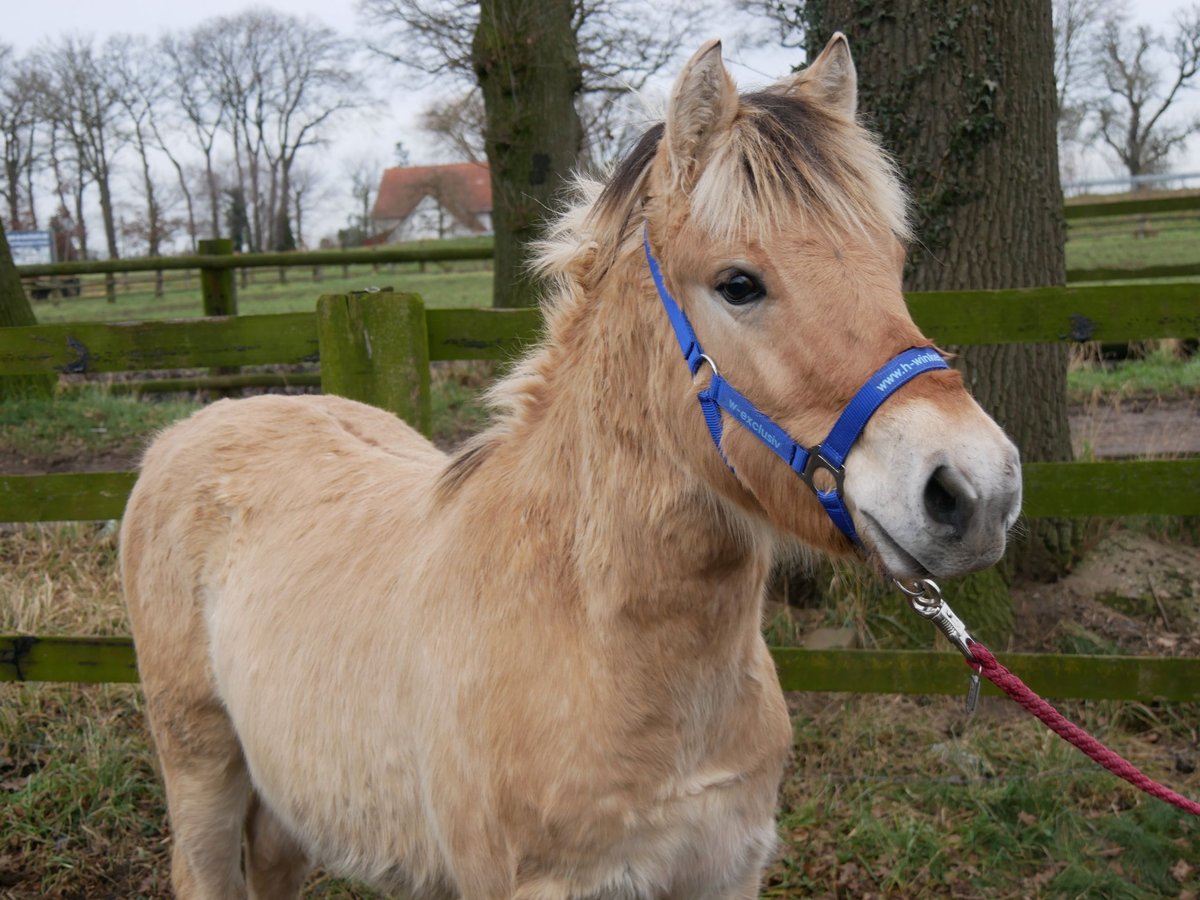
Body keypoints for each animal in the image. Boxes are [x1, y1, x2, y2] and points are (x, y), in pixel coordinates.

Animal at [119, 31, 1022, 897]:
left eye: (892, 264)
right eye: (738, 283)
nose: (977, 490)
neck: (587, 629)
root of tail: (197, 425)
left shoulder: (723, 875)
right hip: (200, 771)